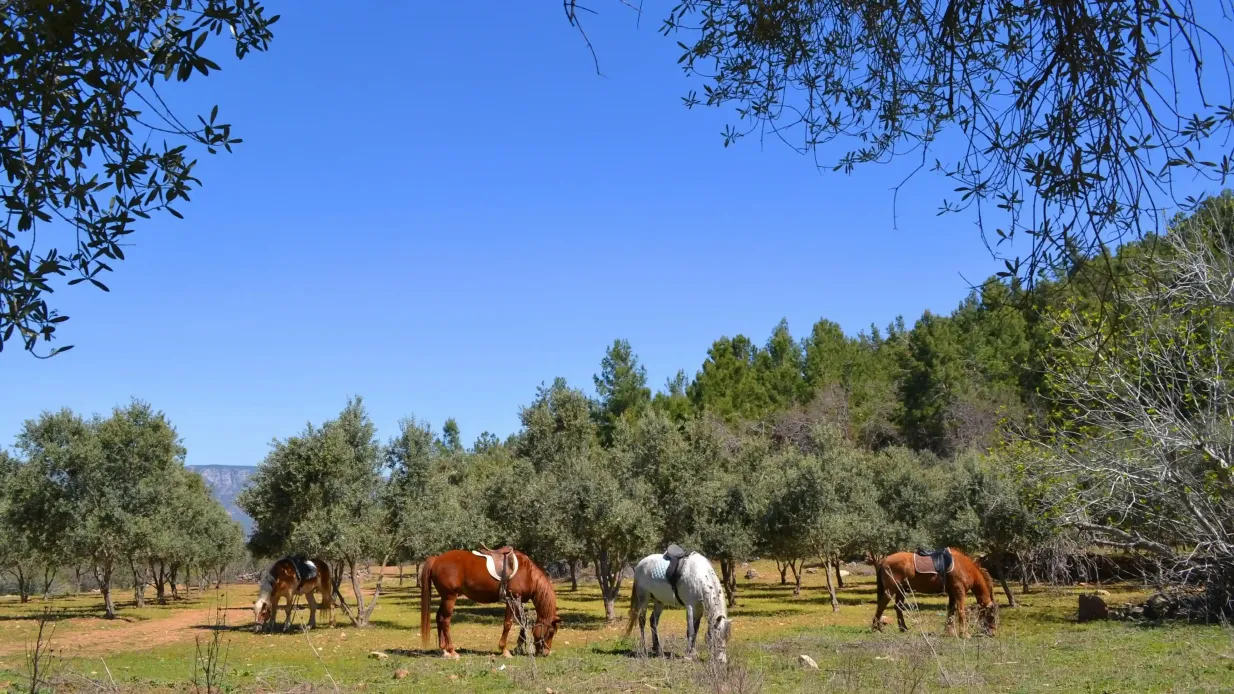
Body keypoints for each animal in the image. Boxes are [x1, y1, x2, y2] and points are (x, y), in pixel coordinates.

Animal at [419, 547, 561, 659]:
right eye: (551, 632)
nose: (545, 653)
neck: (527, 573)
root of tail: (436, 559)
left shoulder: (519, 601)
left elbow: (523, 622)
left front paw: (518, 648)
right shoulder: (511, 600)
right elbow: (508, 624)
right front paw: (504, 650)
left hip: (444, 598)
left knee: (439, 618)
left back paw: (444, 650)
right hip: (449, 598)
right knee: (445, 621)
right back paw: (452, 651)